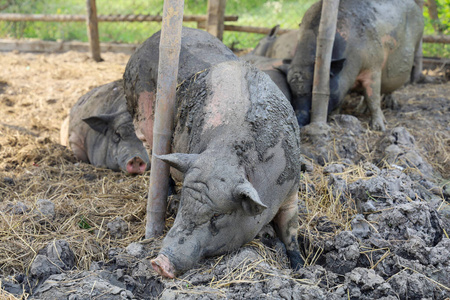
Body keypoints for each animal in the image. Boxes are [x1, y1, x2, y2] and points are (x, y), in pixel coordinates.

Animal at [124, 27, 302, 278]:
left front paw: (299, 267)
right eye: (184, 204)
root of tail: (148, 40)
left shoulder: (292, 187)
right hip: (141, 118)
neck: (226, 154)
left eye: (218, 215)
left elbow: (291, 231)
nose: (160, 263)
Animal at [286, 0, 424, 130]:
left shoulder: (374, 66)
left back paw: (392, 106)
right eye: (292, 91)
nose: (299, 121)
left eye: (312, 89)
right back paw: (360, 110)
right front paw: (335, 116)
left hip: (416, 44)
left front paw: (379, 128)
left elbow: (373, 97)